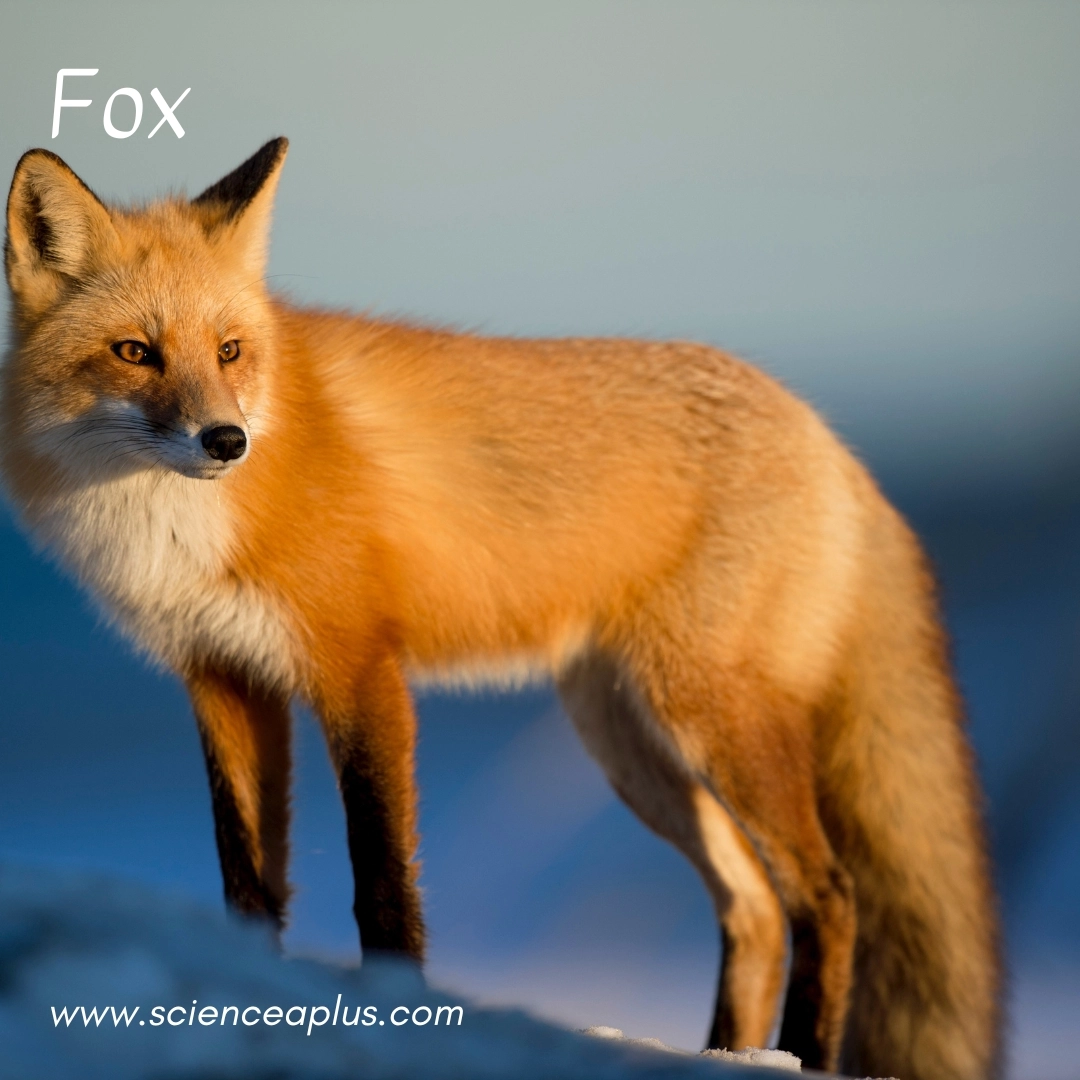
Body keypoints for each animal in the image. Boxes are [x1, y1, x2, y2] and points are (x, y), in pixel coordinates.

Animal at [2, 139, 999, 1078]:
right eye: (135, 352)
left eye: (230, 351)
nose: (226, 440)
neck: (175, 529)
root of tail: (828, 437)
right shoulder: (223, 678)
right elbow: (247, 883)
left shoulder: (359, 668)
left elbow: (382, 882)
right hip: (630, 743)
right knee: (752, 906)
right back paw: (726, 1056)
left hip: (711, 719)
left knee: (828, 895)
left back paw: (805, 1057)